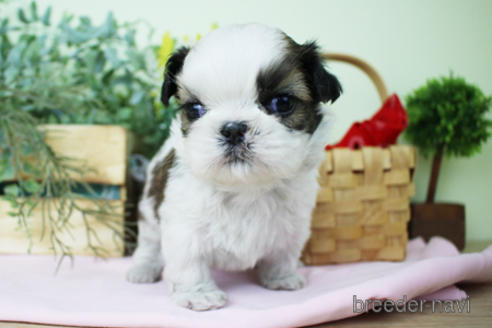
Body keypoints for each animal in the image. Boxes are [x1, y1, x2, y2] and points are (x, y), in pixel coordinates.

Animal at [127, 23, 340, 310]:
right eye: (195, 109)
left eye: (282, 103)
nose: (233, 129)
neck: (245, 188)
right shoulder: (183, 225)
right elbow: (189, 263)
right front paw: (199, 294)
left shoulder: (293, 224)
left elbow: (283, 252)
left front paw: (281, 277)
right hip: (150, 208)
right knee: (148, 242)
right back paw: (143, 268)